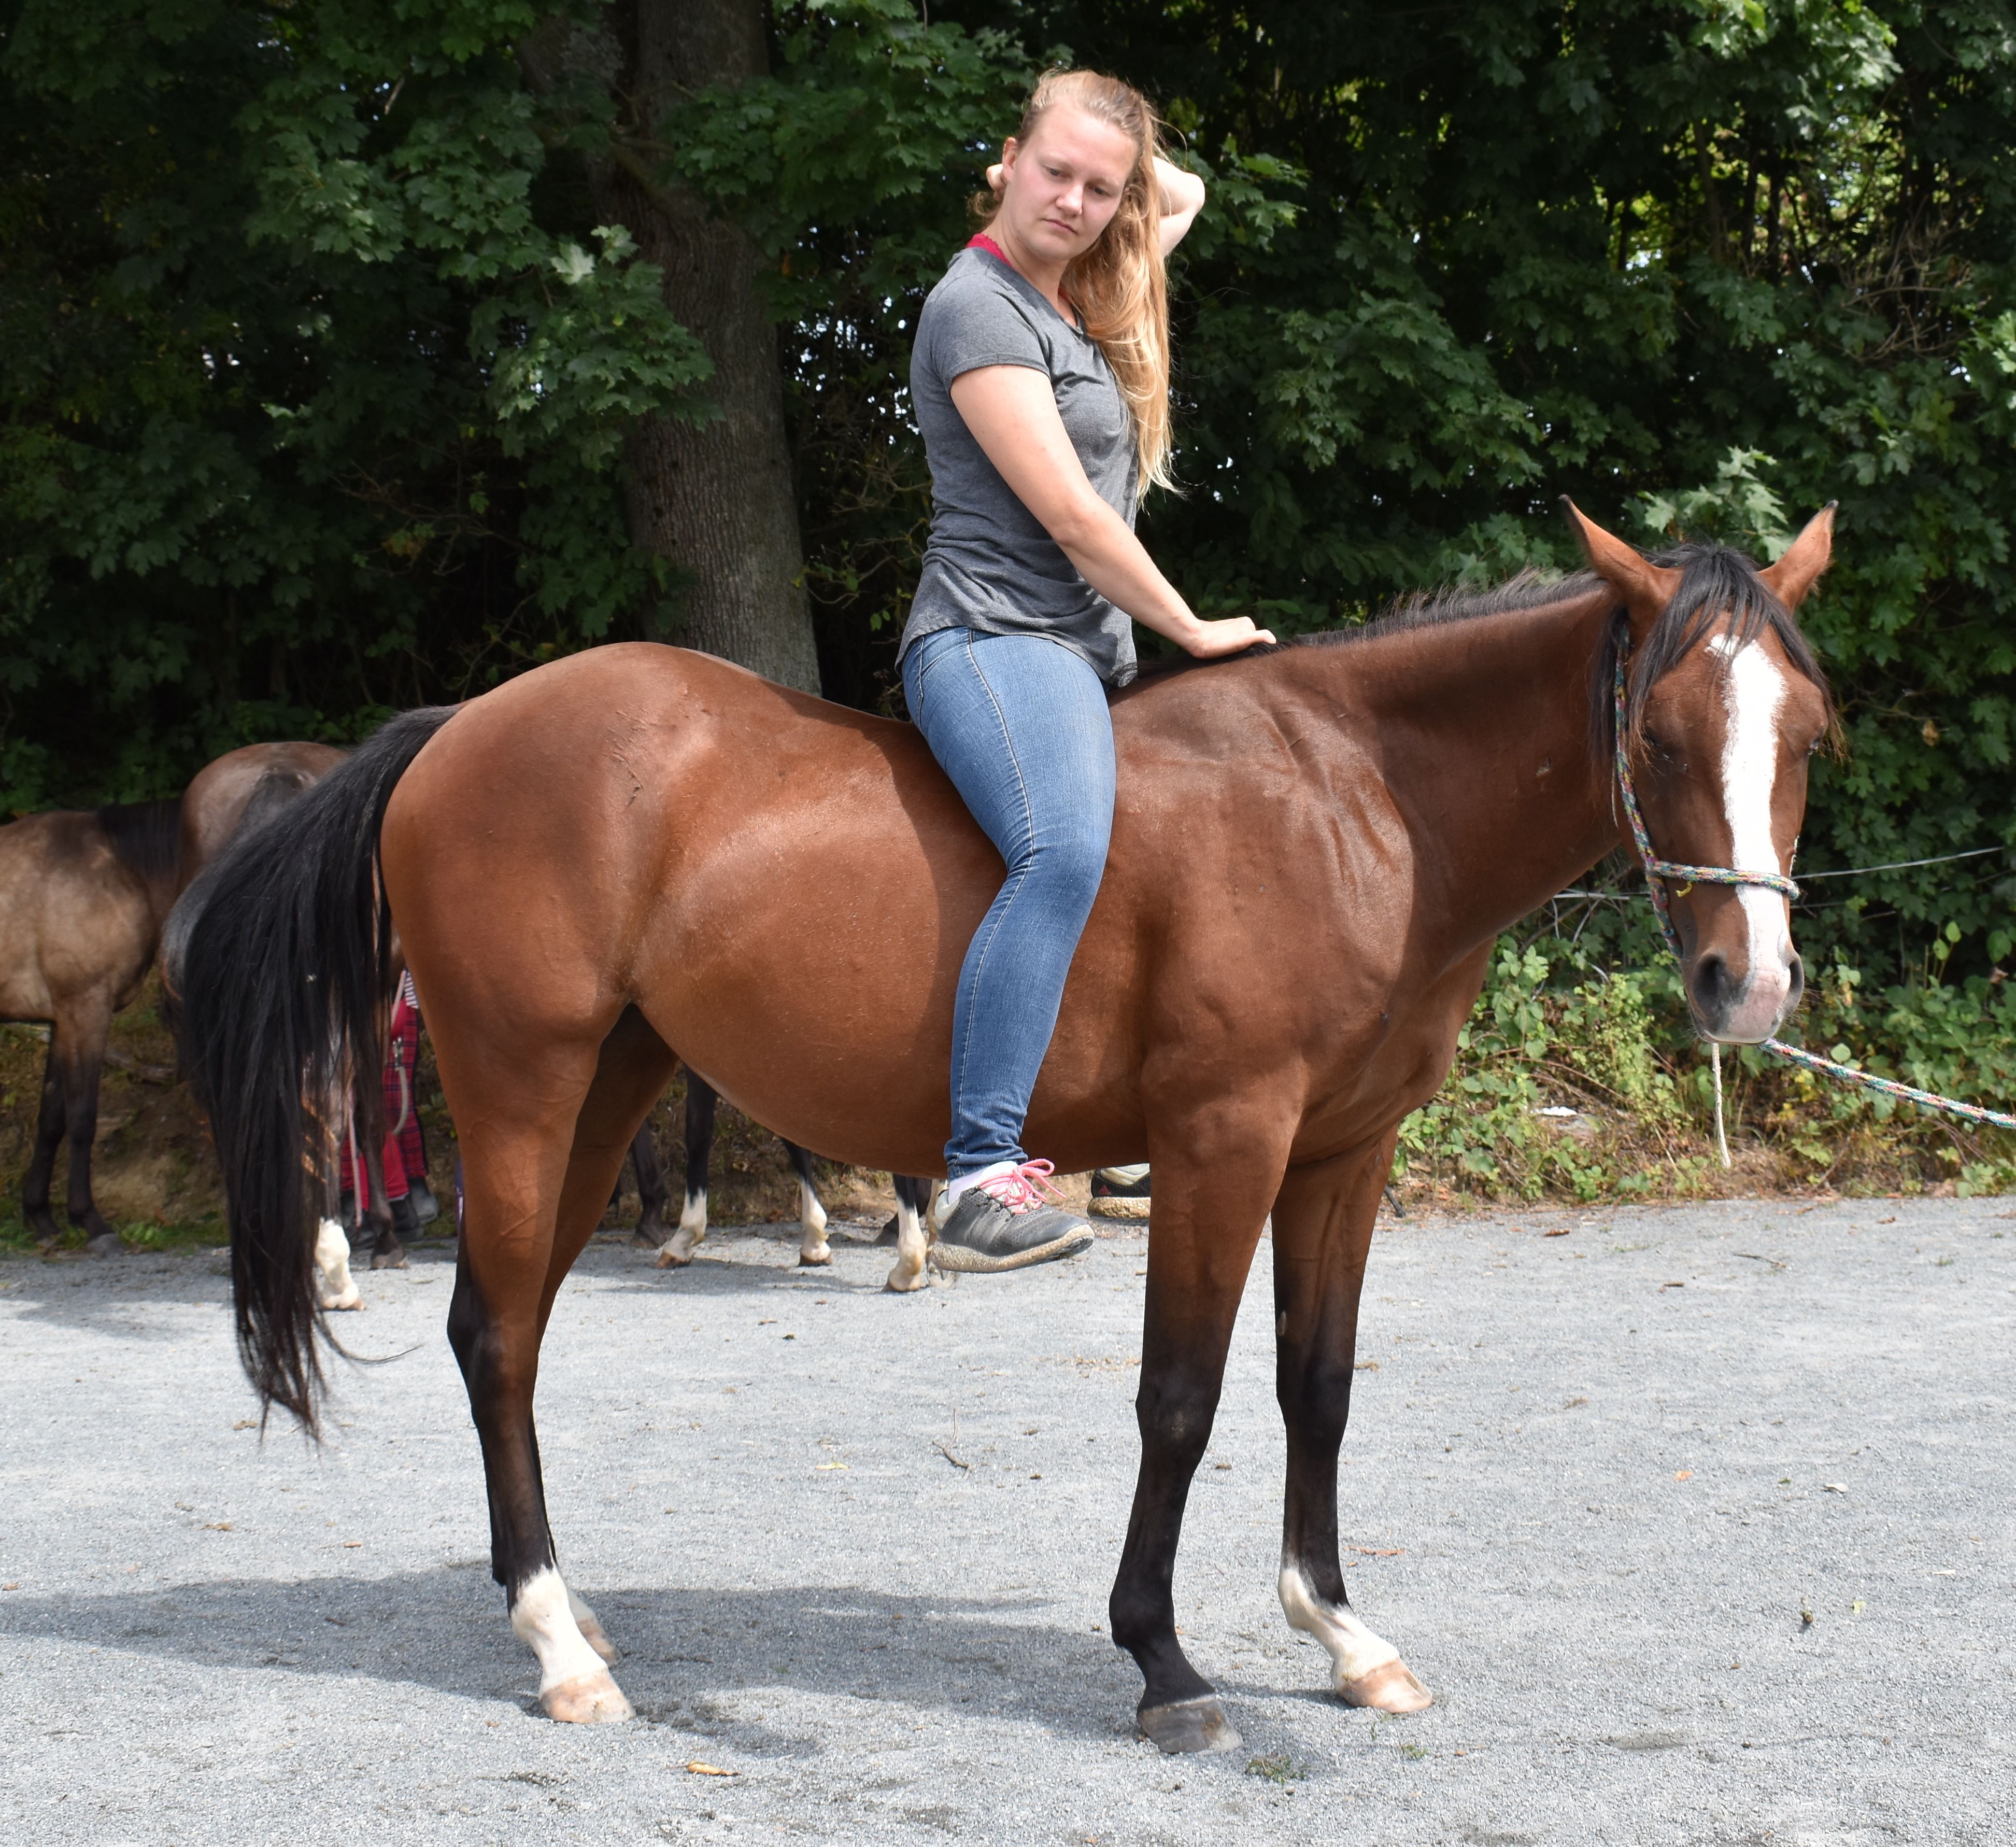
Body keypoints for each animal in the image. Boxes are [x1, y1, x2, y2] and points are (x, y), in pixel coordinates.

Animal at [181, 508, 1838, 1758]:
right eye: (1662, 732)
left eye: (1807, 733)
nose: (1747, 983)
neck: (1353, 799)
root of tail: (458, 727)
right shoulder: (1224, 1140)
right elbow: (1179, 1398)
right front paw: (1164, 1665)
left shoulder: (1338, 1156)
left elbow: (1315, 1388)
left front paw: (1339, 1629)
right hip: (523, 1086)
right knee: (493, 1336)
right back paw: (553, 1644)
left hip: (605, 1088)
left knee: (512, 1333)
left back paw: (566, 1609)